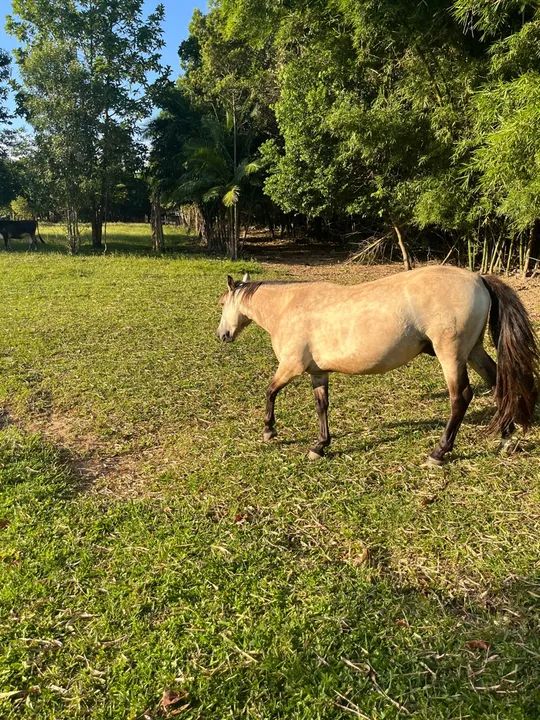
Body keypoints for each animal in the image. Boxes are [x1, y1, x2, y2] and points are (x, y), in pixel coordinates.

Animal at [217, 266, 539, 465]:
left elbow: (270, 392)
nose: (222, 335)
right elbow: (322, 406)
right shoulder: (318, 373)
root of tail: (477, 278)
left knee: (461, 397)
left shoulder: (290, 367)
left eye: (222, 303)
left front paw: (269, 431)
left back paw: (439, 452)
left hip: (452, 354)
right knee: (498, 382)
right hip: (473, 350)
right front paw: (320, 445)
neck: (289, 307)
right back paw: (506, 435)